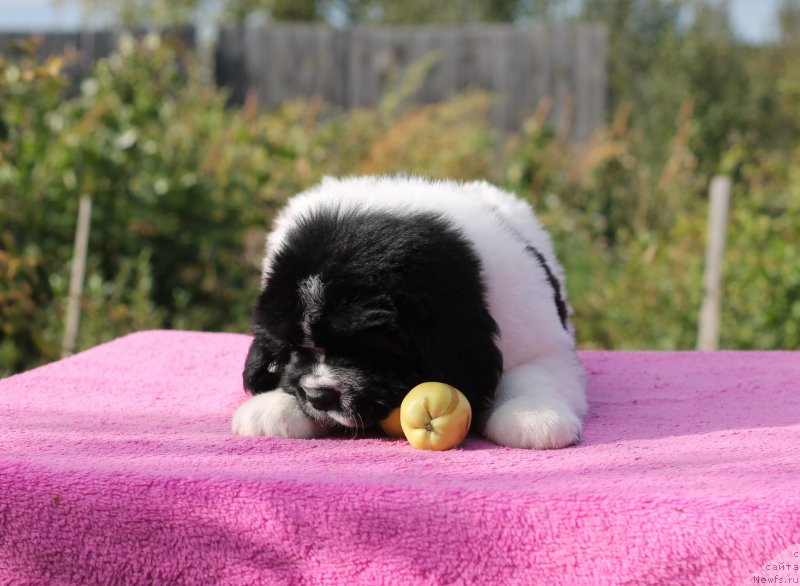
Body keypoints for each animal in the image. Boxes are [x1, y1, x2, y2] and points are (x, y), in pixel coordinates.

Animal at [231, 173, 588, 448]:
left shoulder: (538, 337)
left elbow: (534, 374)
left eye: (365, 346)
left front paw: (532, 416)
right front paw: (275, 405)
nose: (318, 396)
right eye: (292, 346)